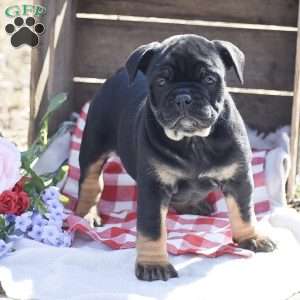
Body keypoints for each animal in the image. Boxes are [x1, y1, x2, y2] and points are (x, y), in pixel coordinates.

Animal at [75, 34, 276, 282]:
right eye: (161, 82)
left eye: (209, 78)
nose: (183, 97)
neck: (194, 140)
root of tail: (118, 74)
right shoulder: (153, 188)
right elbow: (153, 229)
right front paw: (154, 264)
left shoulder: (237, 178)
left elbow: (244, 211)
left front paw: (251, 237)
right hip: (94, 144)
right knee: (91, 181)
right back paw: (87, 214)